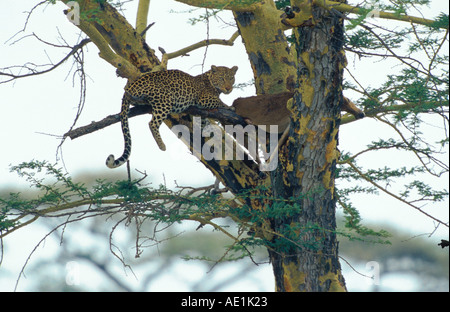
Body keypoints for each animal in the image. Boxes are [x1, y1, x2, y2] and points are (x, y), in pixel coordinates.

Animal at [106, 64, 239, 169]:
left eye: (231, 78)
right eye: (222, 78)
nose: (228, 88)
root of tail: (129, 87)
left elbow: (208, 126)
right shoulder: (204, 98)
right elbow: (219, 102)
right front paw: (230, 107)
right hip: (165, 99)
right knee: (152, 123)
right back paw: (161, 145)